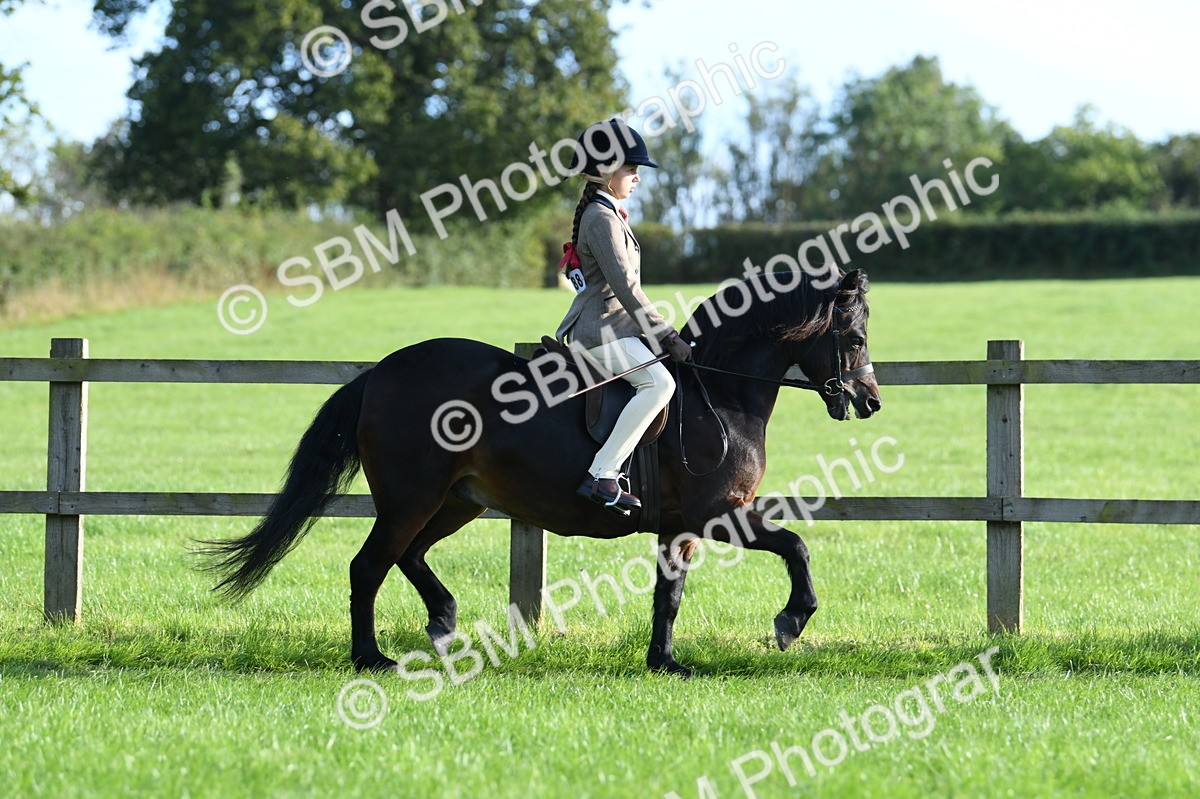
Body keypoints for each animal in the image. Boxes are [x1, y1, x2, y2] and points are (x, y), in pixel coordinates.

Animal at [200, 267, 881, 677]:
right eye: (853, 336)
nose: (869, 400)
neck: (721, 391)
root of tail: (381, 372)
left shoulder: (680, 527)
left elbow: (669, 594)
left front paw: (663, 661)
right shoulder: (718, 514)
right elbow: (795, 546)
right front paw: (790, 622)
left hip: (457, 500)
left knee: (409, 556)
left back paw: (443, 621)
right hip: (412, 497)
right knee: (369, 565)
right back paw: (371, 658)